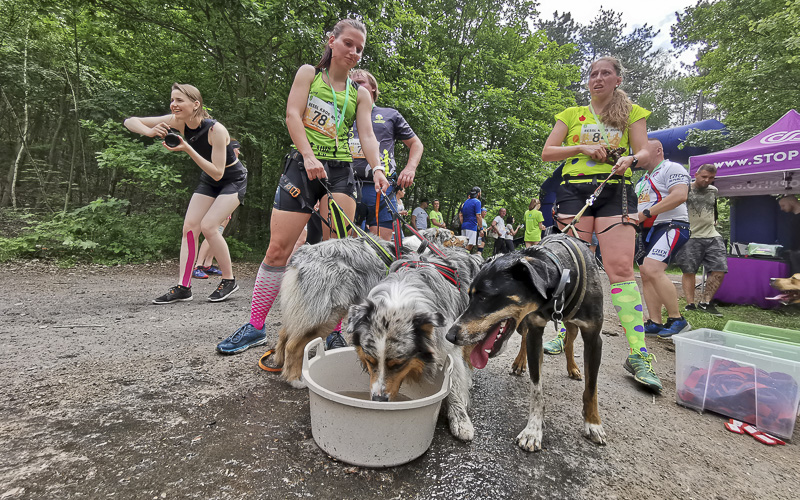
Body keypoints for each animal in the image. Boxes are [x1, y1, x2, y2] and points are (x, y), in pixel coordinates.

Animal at [444, 232, 608, 452]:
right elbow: (537, 389)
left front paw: (593, 423)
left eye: (485, 297)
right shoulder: (535, 330)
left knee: (570, 339)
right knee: (524, 338)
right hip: (525, 325)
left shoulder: (594, 338)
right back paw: (520, 363)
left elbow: (591, 387)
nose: (450, 335)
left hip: (572, 327)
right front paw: (533, 430)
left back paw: (573, 367)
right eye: (469, 296)